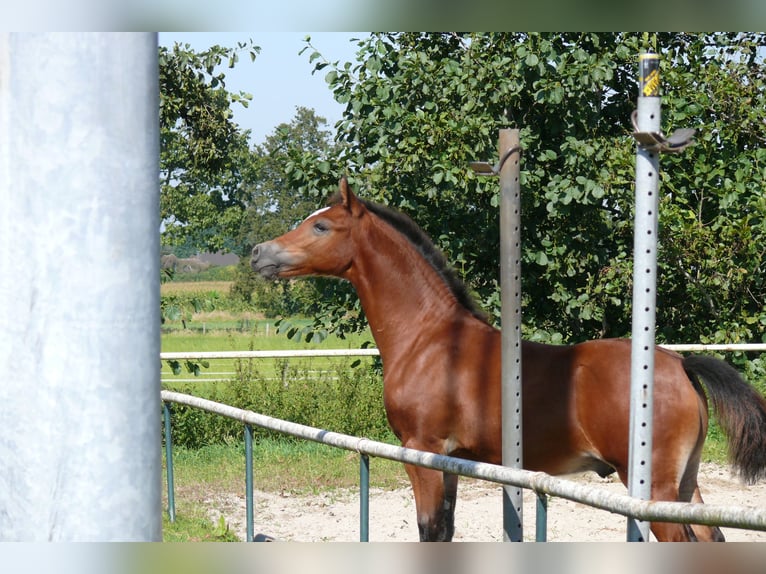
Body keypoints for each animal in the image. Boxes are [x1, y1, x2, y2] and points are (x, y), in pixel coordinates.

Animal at [252, 178, 766, 544]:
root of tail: (679, 364)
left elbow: (429, 531)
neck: (430, 339)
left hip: (652, 489)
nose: (259, 254)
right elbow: (446, 530)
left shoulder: (422, 453)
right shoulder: (452, 461)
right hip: (684, 484)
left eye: (321, 226)